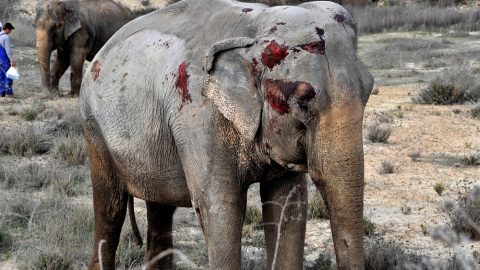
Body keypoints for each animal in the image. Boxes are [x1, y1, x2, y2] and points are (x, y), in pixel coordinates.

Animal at [79, 1, 376, 268]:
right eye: (303, 102)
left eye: (369, 89)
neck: (254, 29)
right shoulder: (198, 116)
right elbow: (222, 210)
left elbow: (288, 207)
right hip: (93, 125)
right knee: (110, 206)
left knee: (159, 207)